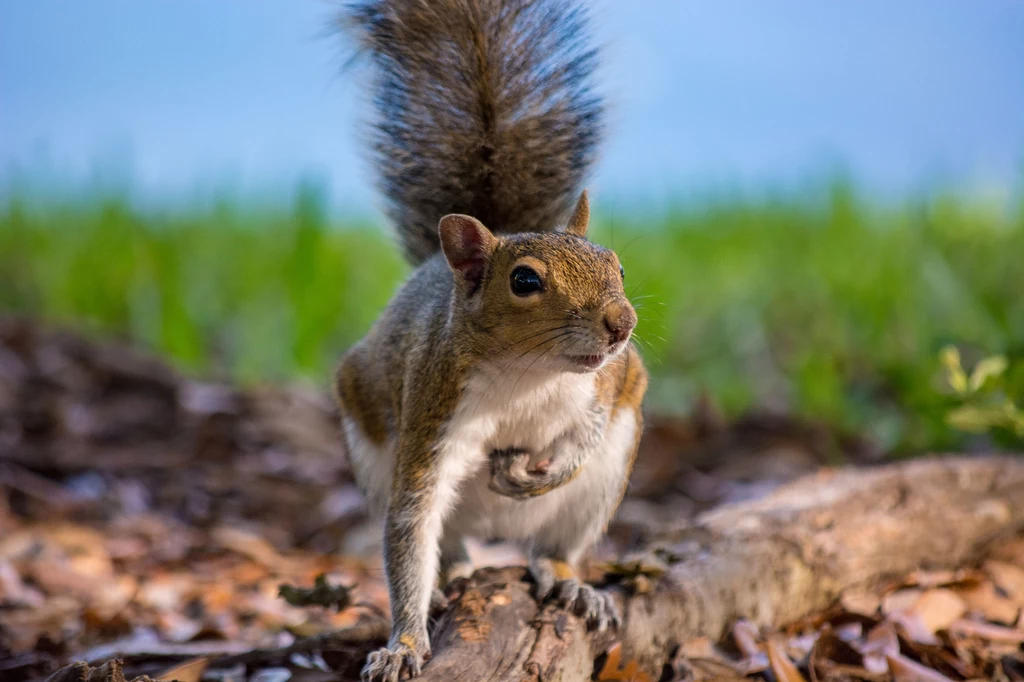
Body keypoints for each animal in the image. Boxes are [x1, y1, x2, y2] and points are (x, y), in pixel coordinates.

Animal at [331, 2, 643, 675]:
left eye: (616, 265)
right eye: (524, 281)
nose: (623, 324)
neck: (531, 374)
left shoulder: (611, 380)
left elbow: (588, 431)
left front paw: (541, 473)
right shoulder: (433, 408)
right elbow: (411, 521)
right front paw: (403, 643)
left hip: (603, 485)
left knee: (554, 546)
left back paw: (568, 579)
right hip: (373, 455)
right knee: (442, 545)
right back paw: (446, 581)